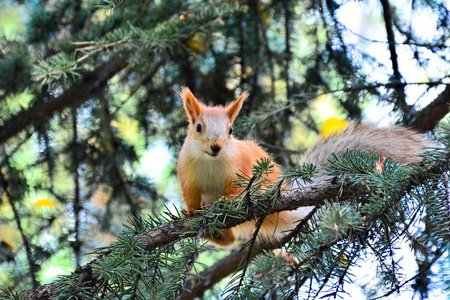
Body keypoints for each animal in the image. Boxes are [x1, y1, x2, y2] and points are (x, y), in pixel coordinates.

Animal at [177, 88, 436, 247]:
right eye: (198, 127)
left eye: (230, 130)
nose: (217, 146)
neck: (211, 162)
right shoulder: (187, 174)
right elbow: (190, 195)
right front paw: (190, 212)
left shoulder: (241, 168)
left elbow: (238, 190)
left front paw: (229, 200)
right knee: (228, 240)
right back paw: (211, 231)